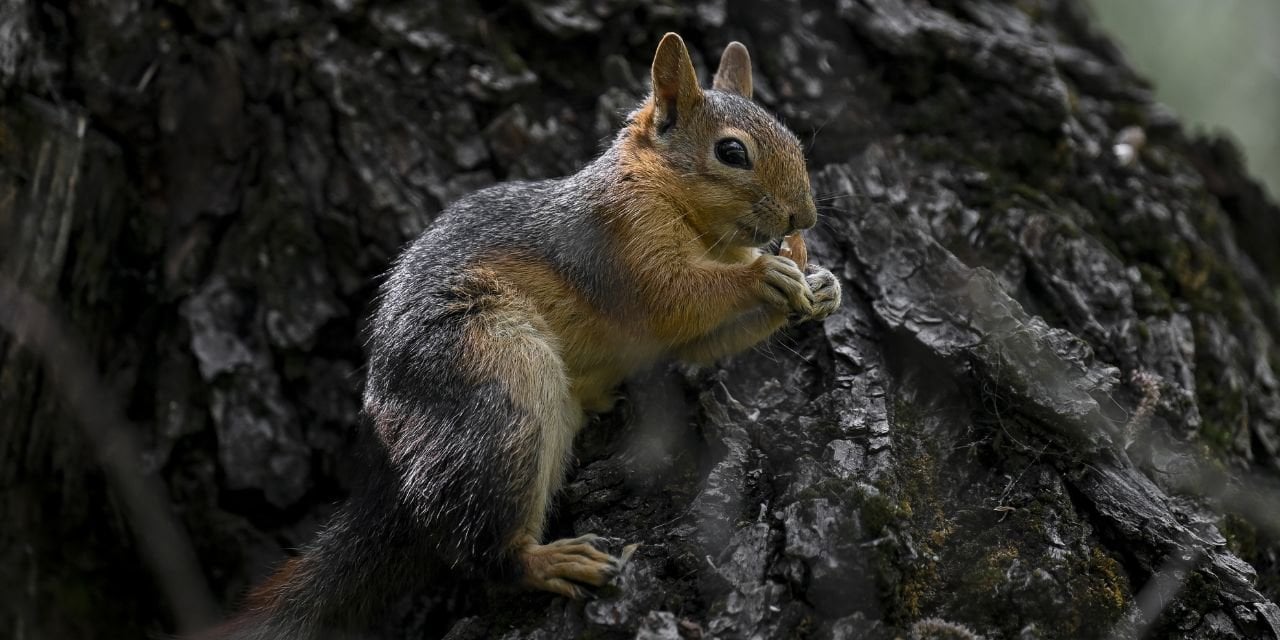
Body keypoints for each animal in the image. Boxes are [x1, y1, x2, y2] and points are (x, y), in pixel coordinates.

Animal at [218, 33, 839, 634]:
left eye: (793, 138)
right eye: (731, 152)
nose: (804, 218)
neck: (678, 205)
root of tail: (390, 474)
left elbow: (696, 343)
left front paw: (821, 285)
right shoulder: (617, 245)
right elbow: (673, 297)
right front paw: (765, 274)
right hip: (498, 381)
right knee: (480, 547)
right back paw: (544, 560)